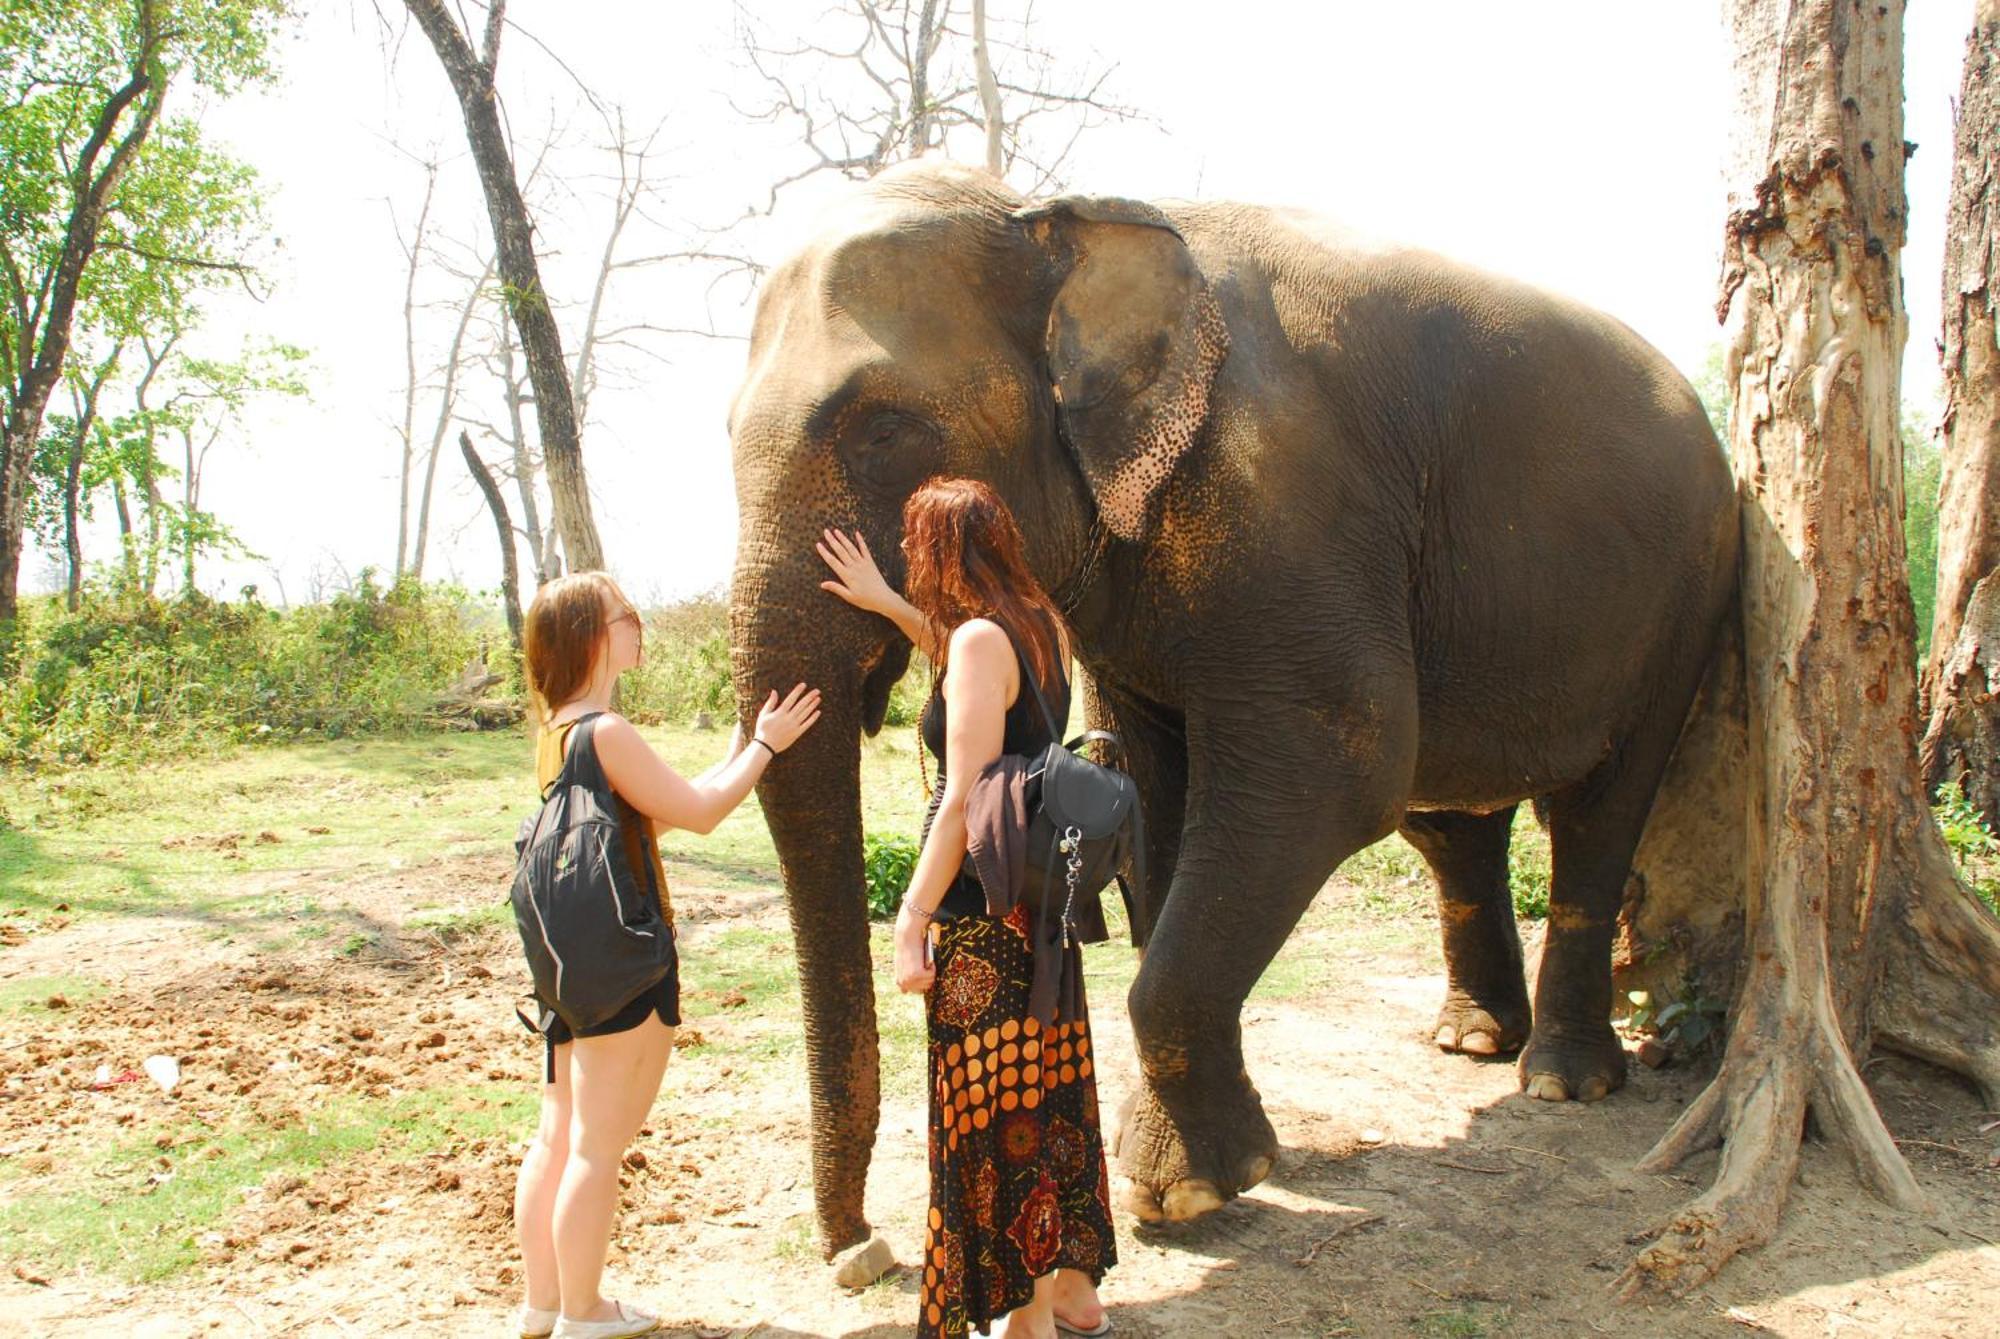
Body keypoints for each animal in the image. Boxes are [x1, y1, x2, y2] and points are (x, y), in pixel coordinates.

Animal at [728, 159, 1744, 1271]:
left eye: (881, 427)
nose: (862, 1253)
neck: (1063, 212)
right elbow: (1158, 788)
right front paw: (1199, 1172)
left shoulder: (1291, 499)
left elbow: (1338, 765)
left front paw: (1181, 1191)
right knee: (1453, 822)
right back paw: (1473, 1040)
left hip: (1689, 588)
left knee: (1603, 807)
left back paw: (1561, 1080)